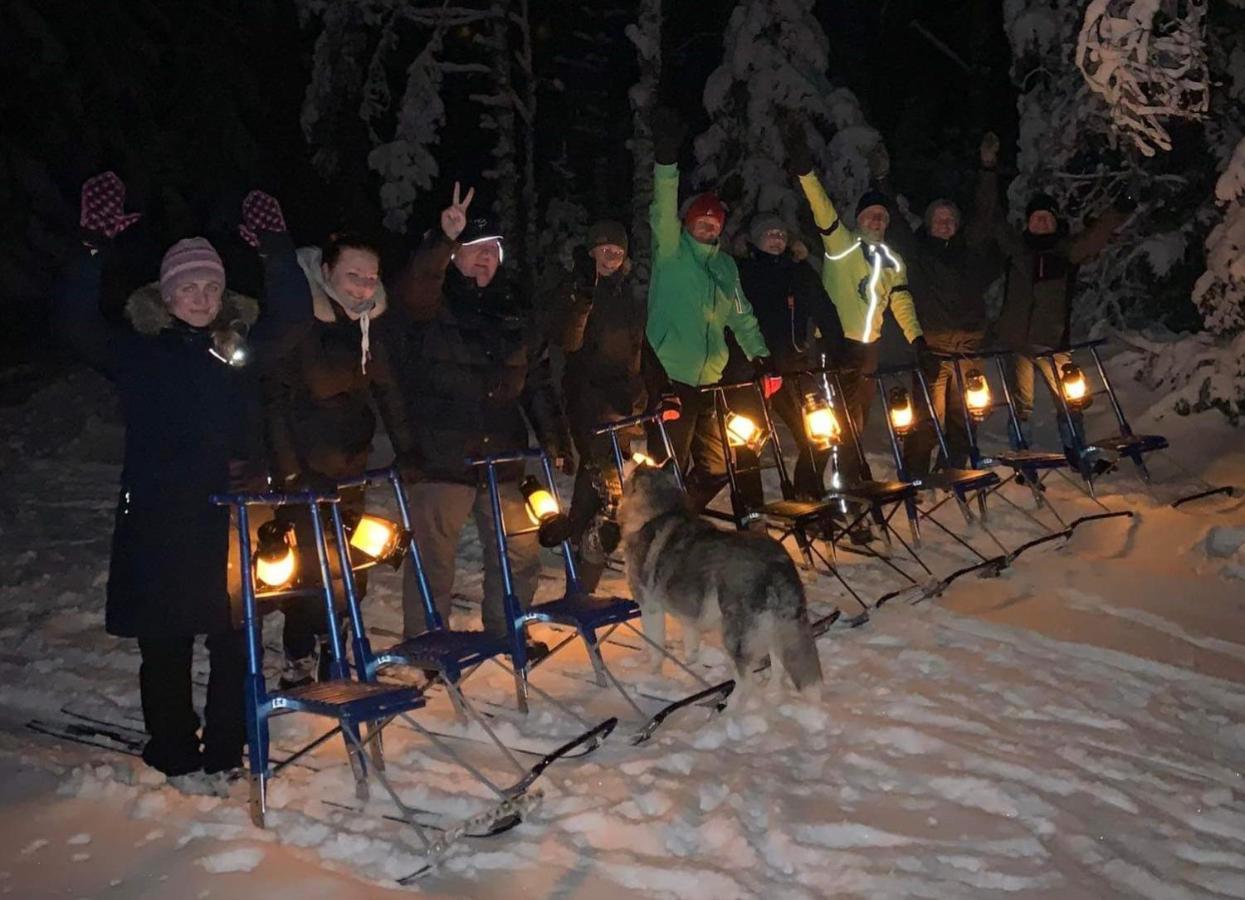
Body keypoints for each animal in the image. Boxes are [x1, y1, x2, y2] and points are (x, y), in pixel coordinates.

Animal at [617, 465, 821, 702]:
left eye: (636, 467)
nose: (629, 462)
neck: (662, 510)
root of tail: (775, 564)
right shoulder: (689, 613)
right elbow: (691, 645)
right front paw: (691, 666)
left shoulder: (650, 608)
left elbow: (656, 649)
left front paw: (653, 675)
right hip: (776, 625)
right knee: (778, 665)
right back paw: (771, 694)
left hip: (735, 636)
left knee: (746, 682)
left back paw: (732, 705)